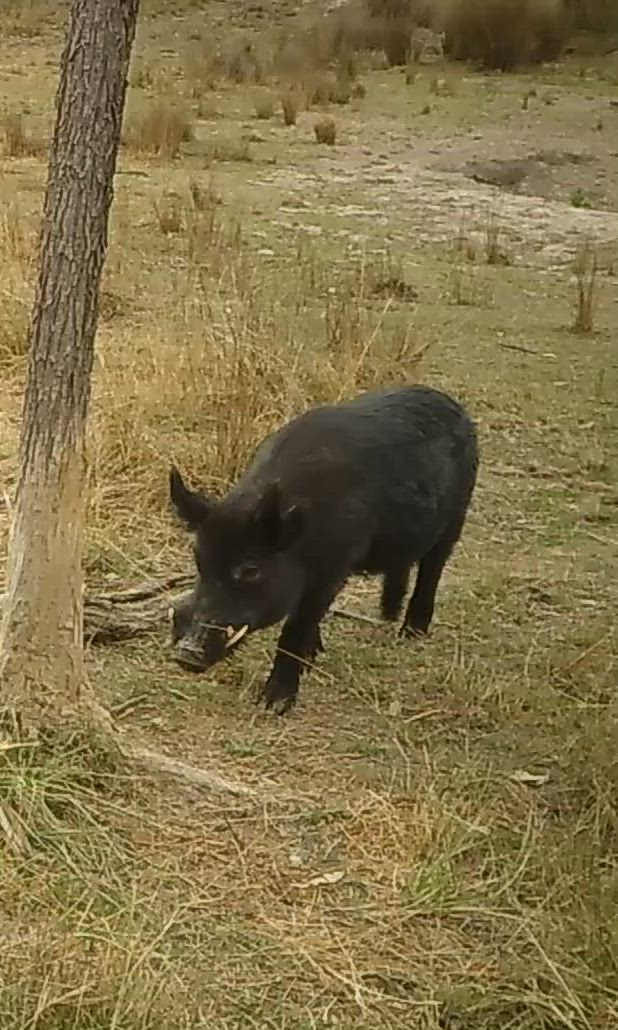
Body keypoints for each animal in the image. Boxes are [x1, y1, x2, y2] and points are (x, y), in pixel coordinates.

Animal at [169, 384, 478, 715]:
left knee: (433, 568)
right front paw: (312, 656)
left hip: (456, 516)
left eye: (251, 569)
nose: (186, 653)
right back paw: (387, 615)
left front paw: (274, 704)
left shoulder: (335, 566)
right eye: (199, 560)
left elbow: (297, 625)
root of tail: (455, 406)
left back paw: (411, 633)